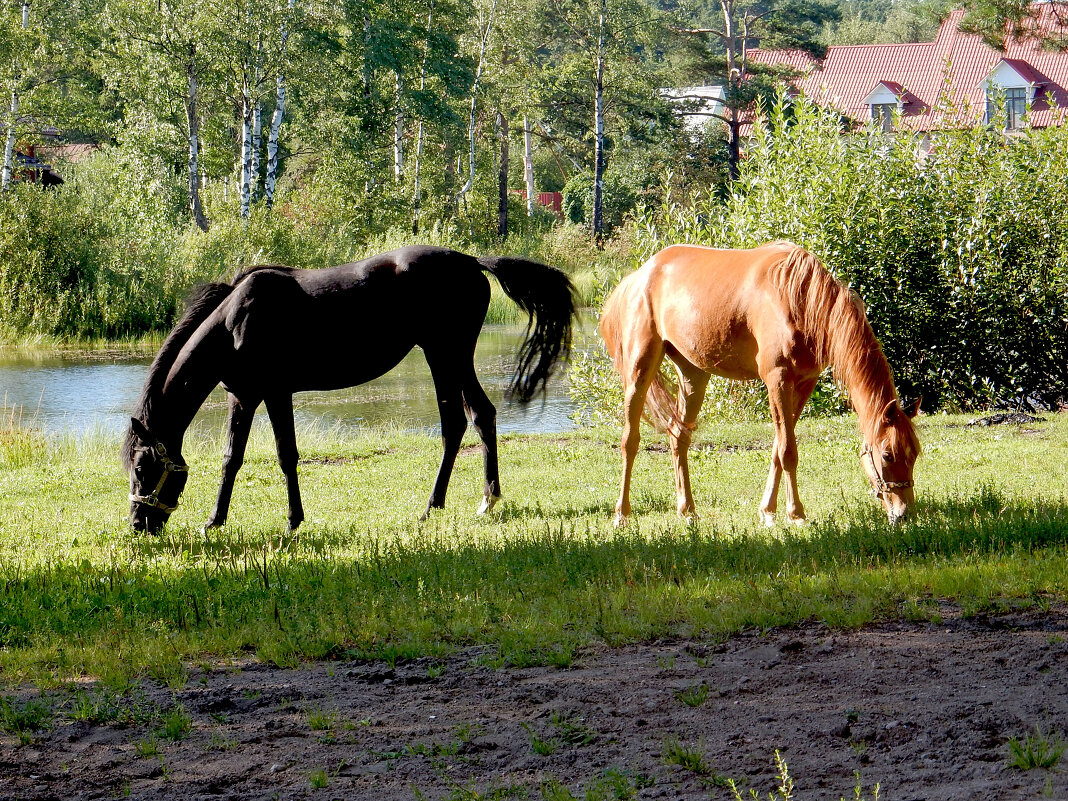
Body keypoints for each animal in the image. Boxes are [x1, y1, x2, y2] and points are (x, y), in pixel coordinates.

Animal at [119, 244, 576, 534]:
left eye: (142, 467)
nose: (139, 524)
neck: (234, 322)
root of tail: (471, 261)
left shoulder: (275, 393)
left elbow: (286, 455)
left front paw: (293, 521)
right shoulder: (243, 396)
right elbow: (232, 458)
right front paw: (215, 520)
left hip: (449, 355)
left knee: (472, 419)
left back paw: (466, 503)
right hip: (445, 358)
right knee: (465, 423)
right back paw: (452, 504)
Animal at [602, 241, 918, 529]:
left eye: (914, 453)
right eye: (887, 454)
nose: (904, 513)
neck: (799, 299)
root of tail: (639, 276)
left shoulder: (803, 383)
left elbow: (778, 448)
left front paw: (768, 511)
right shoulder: (778, 380)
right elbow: (788, 450)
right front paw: (796, 514)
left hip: (693, 375)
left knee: (678, 436)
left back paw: (688, 510)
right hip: (640, 369)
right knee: (630, 440)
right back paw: (622, 514)